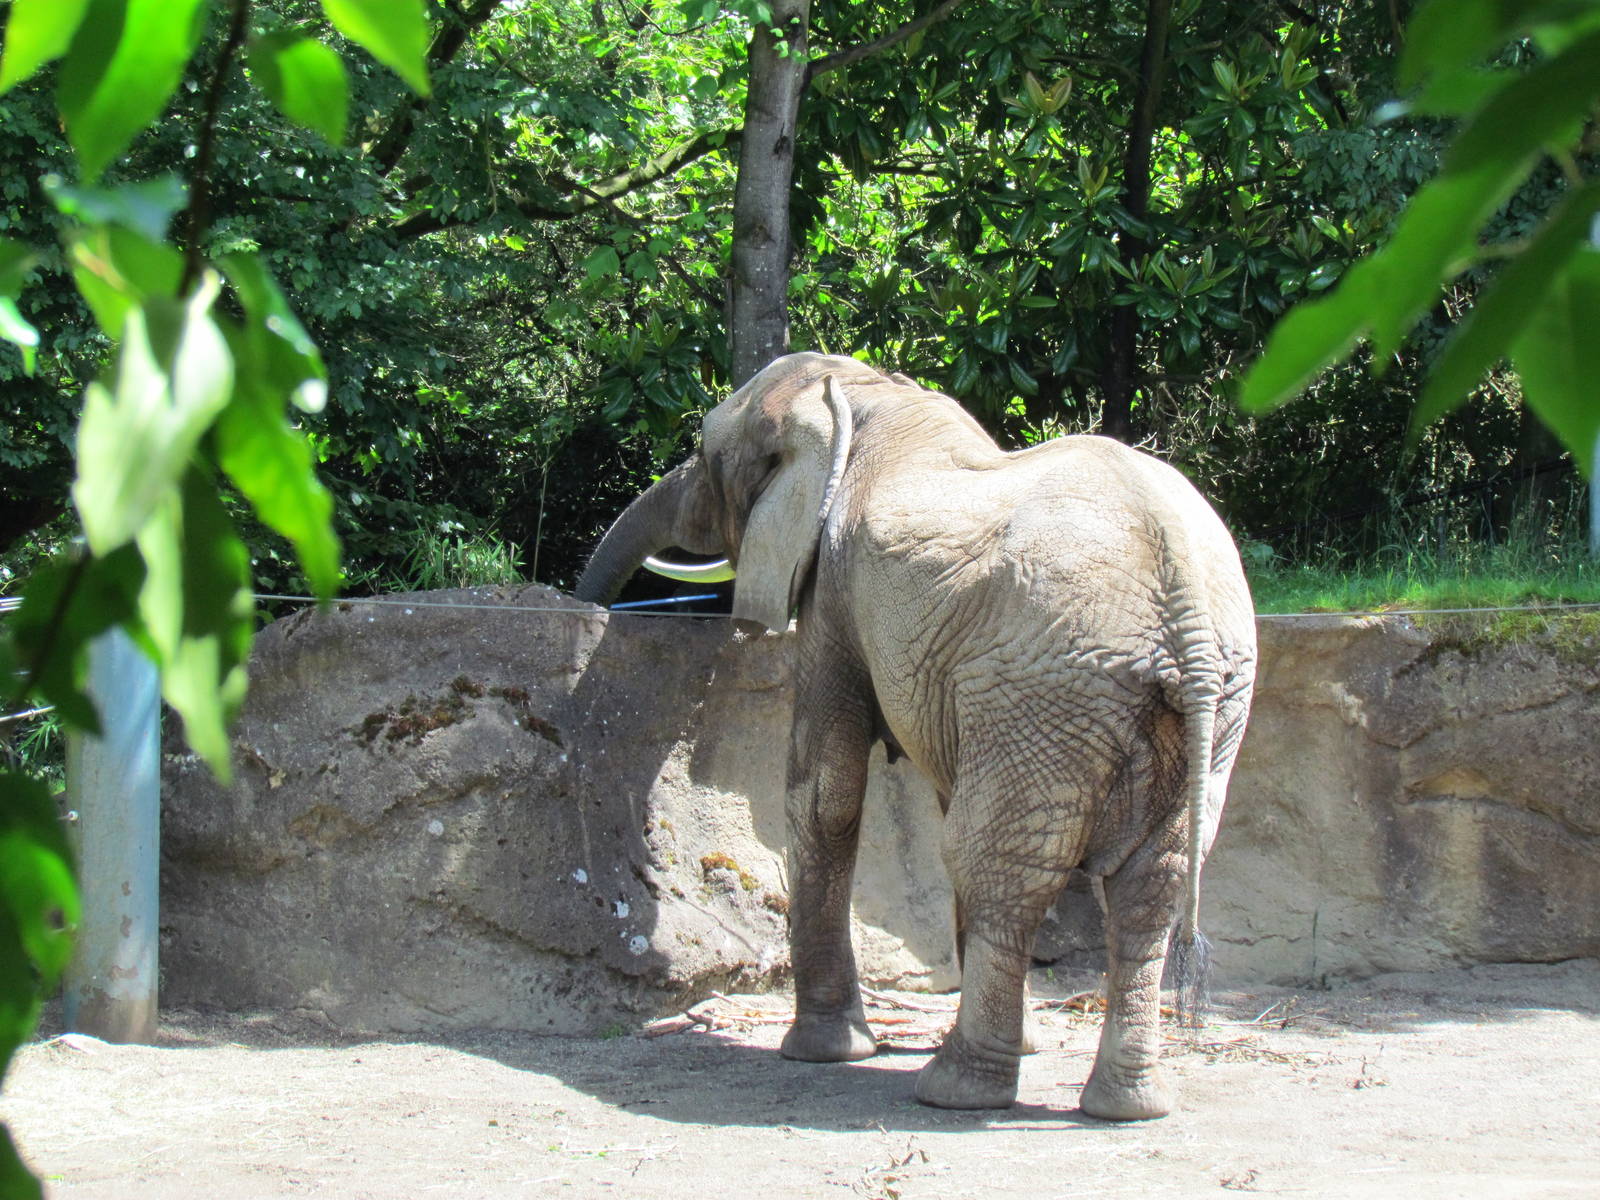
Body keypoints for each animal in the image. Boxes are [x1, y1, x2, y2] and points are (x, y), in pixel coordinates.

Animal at [575, 352, 1256, 1121]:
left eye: (701, 450)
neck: (858, 396)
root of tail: (1185, 599)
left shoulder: (834, 587)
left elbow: (825, 795)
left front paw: (823, 1052)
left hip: (1048, 680)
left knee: (998, 865)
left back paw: (957, 1089)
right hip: (1191, 697)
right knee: (1150, 880)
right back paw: (1127, 1105)